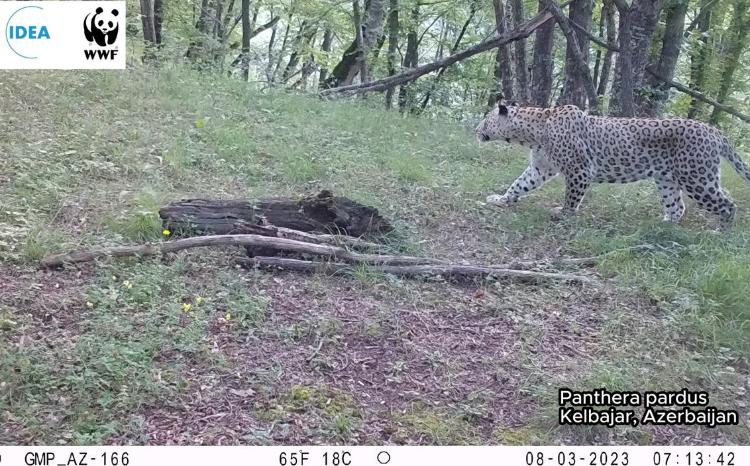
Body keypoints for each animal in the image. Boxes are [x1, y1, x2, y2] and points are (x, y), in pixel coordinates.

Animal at [475, 103, 750, 230]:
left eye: (485, 119)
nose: (475, 130)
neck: (533, 132)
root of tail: (715, 131)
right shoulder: (540, 168)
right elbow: (519, 184)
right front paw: (501, 199)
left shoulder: (580, 170)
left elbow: (571, 197)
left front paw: (564, 215)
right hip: (667, 180)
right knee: (677, 207)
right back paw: (662, 226)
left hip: (697, 178)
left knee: (728, 202)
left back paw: (721, 232)